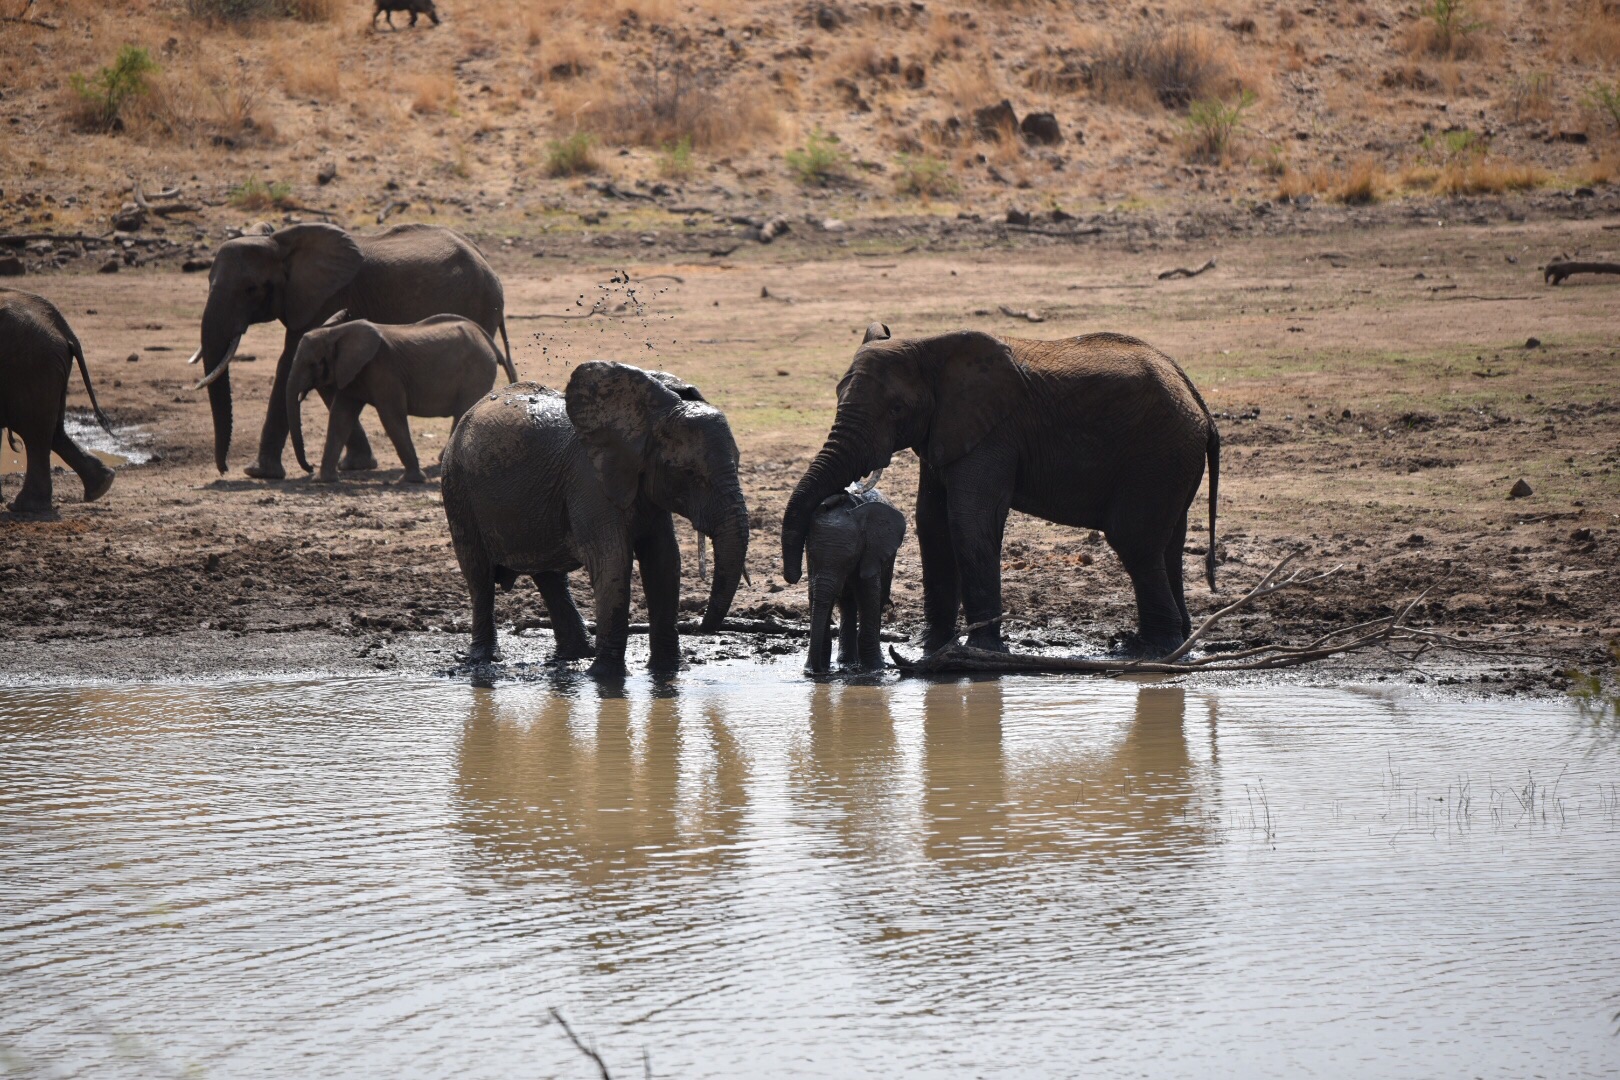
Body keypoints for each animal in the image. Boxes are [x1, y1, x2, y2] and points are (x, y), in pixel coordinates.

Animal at [0, 289, 117, 514]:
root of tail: (64, 328)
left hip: (31, 366)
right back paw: (101, 485)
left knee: (35, 433)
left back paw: (25, 507)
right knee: (52, 430)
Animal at [286, 312, 498, 482]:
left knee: (464, 412)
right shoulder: (351, 373)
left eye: (312, 364)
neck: (336, 332)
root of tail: (485, 337)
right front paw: (322, 480)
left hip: (477, 370)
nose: (309, 467)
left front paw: (411, 480)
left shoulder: (384, 369)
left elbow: (391, 417)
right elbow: (340, 417)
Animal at [440, 362, 748, 676]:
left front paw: (667, 671)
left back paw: (577, 653)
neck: (646, 417)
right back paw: (485, 659)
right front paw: (606, 677)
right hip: (457, 488)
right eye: (689, 473)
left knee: (550, 576)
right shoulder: (589, 481)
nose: (700, 627)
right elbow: (613, 559)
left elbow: (663, 560)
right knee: (479, 575)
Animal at [803, 482, 907, 670]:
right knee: (847, 604)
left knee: (878, 598)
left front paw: (875, 668)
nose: (819, 672)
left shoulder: (870, 551)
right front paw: (810, 669)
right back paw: (846, 662)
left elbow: (869, 595)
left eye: (850, 559)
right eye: (812, 556)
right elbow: (814, 594)